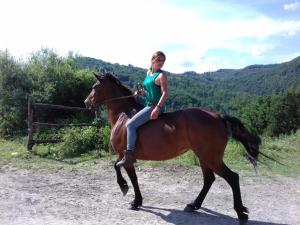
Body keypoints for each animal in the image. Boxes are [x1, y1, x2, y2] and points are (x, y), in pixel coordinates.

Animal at [84, 71, 260, 224]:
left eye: (94, 87)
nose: (86, 103)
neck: (124, 116)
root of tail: (218, 117)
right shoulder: (124, 156)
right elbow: (128, 174)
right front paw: (136, 199)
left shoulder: (124, 155)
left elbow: (122, 171)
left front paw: (128, 192)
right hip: (204, 157)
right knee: (209, 179)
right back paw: (193, 205)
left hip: (211, 158)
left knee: (232, 177)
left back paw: (241, 213)